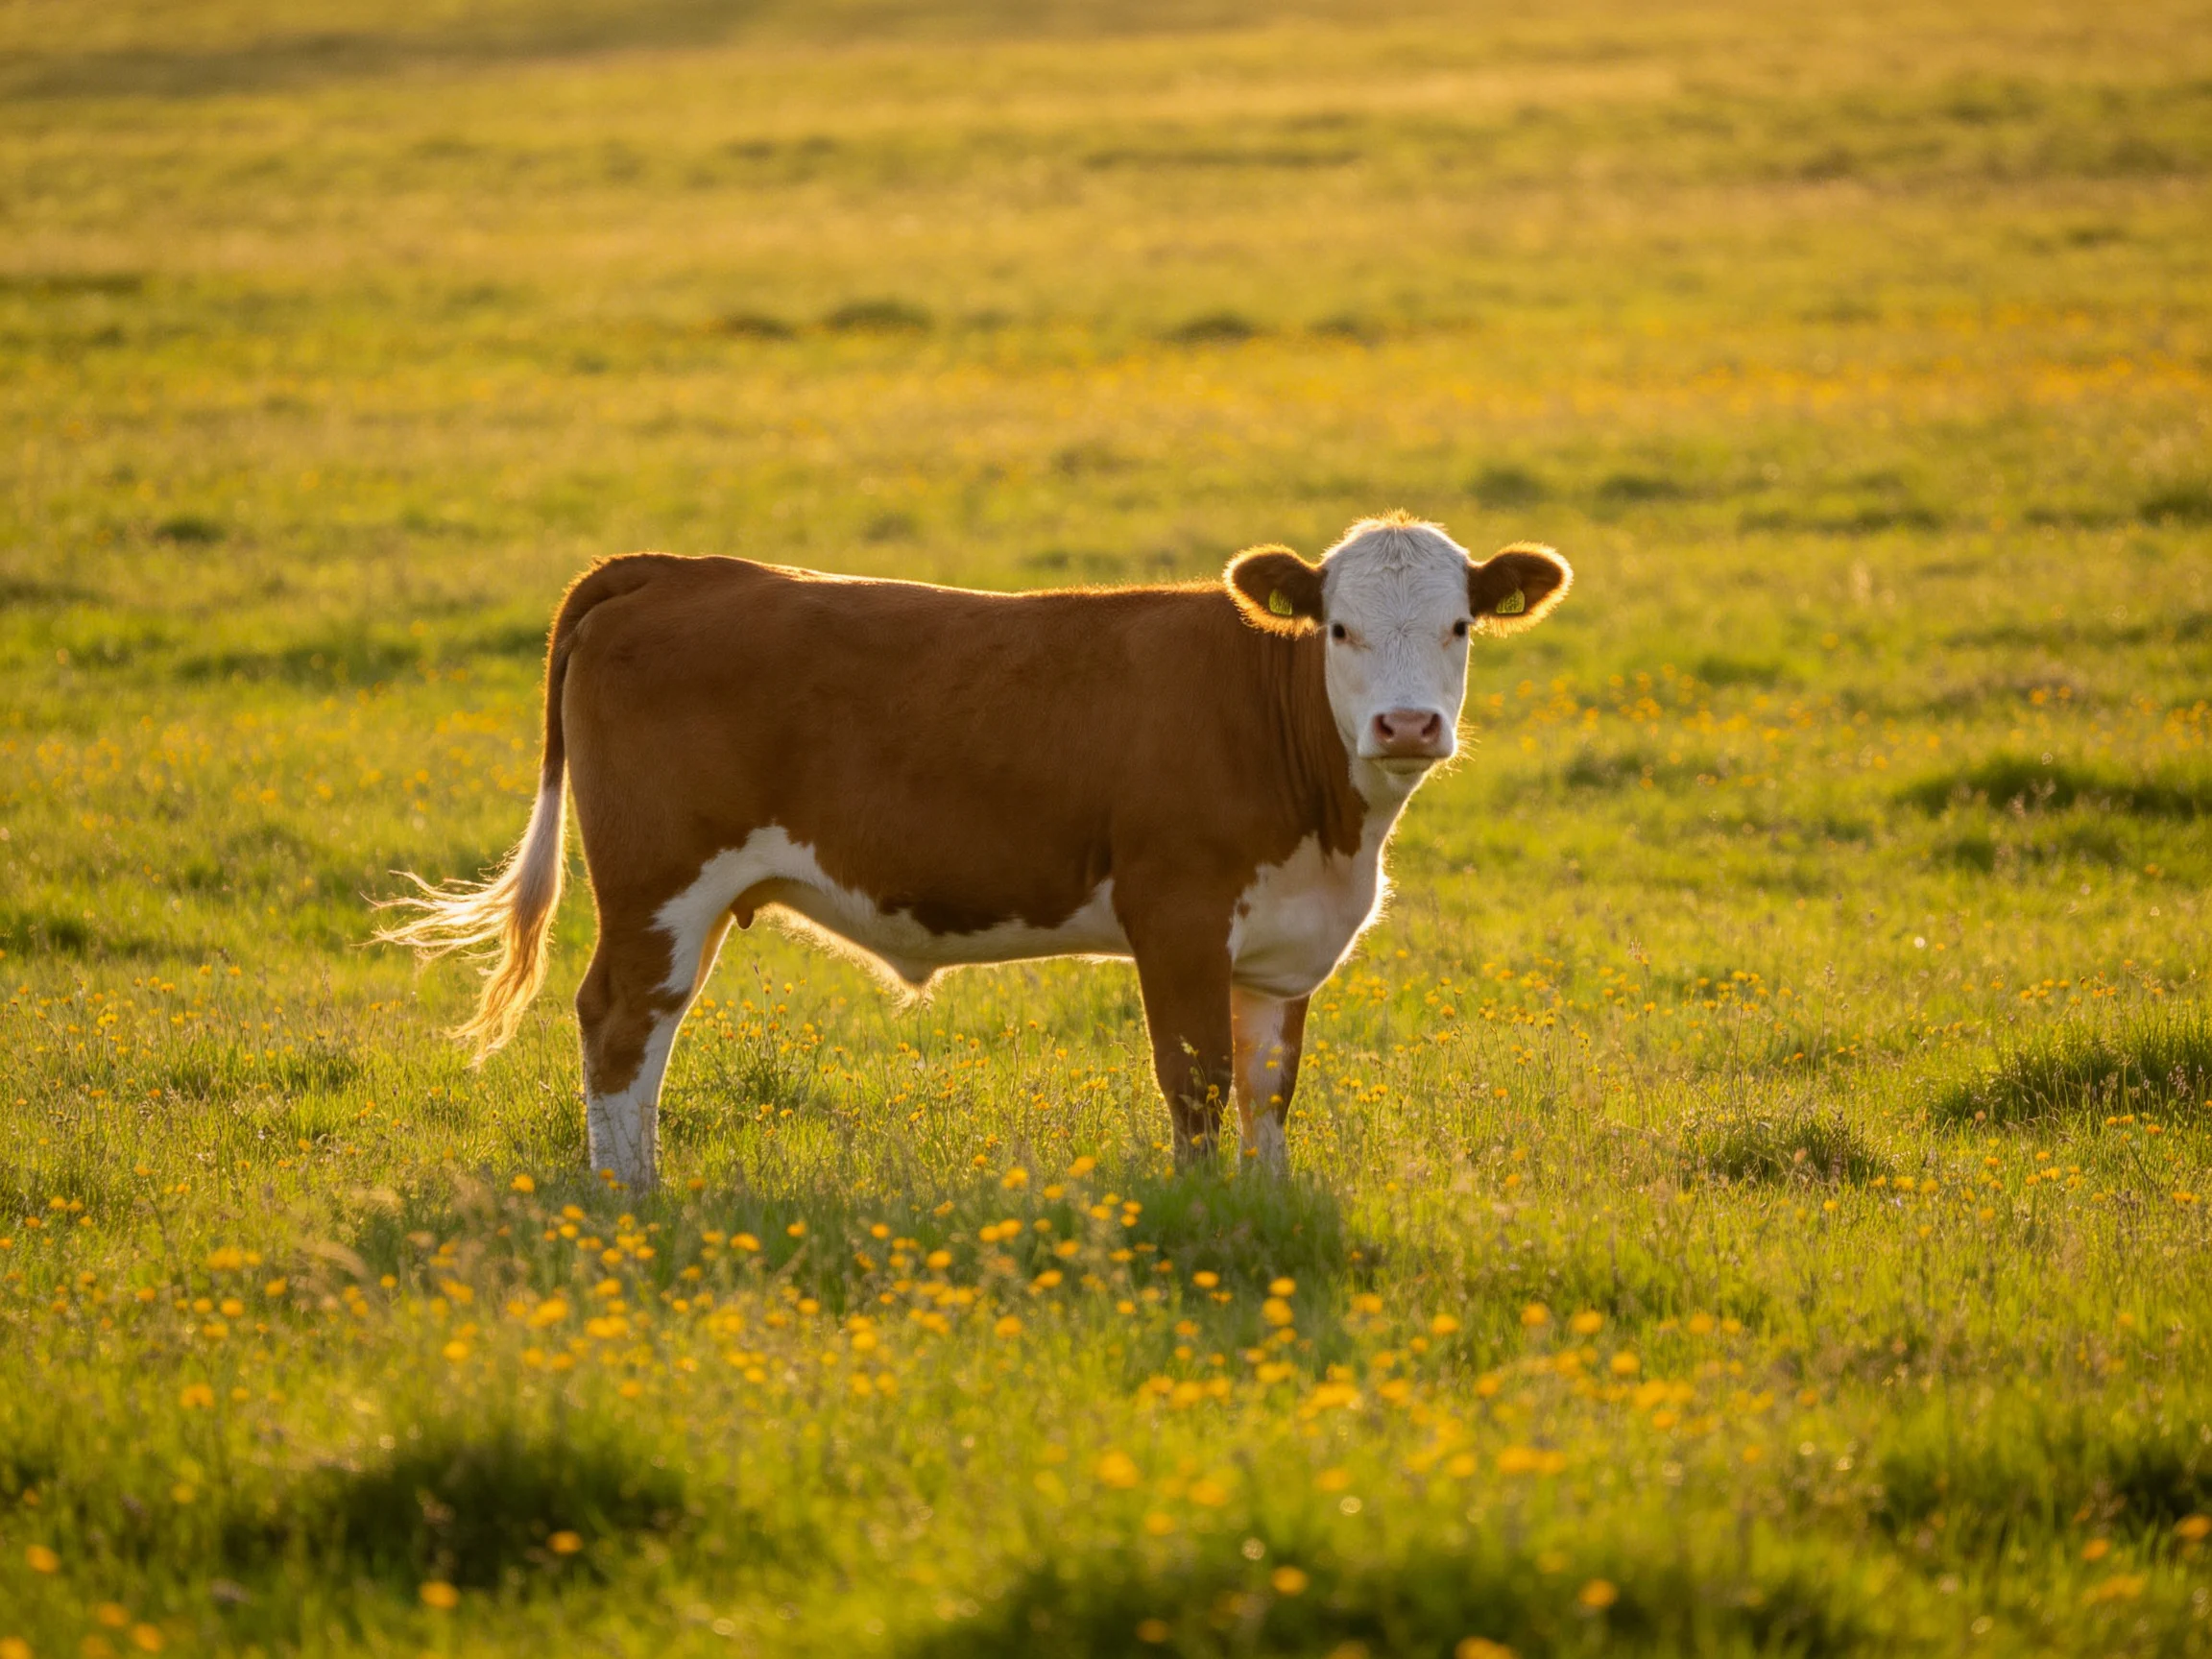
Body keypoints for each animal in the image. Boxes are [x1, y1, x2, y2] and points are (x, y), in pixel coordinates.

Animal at [379, 513, 1570, 1190]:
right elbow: (1195, 1081)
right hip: (657, 882)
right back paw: (631, 1198)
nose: (1408, 726)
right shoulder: (1176, 914)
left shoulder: (1281, 948)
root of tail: (677, 570)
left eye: (1460, 626)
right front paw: (1203, 1218)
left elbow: (1267, 1093)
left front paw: (1266, 1208)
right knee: (622, 1021)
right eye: (1339, 629)